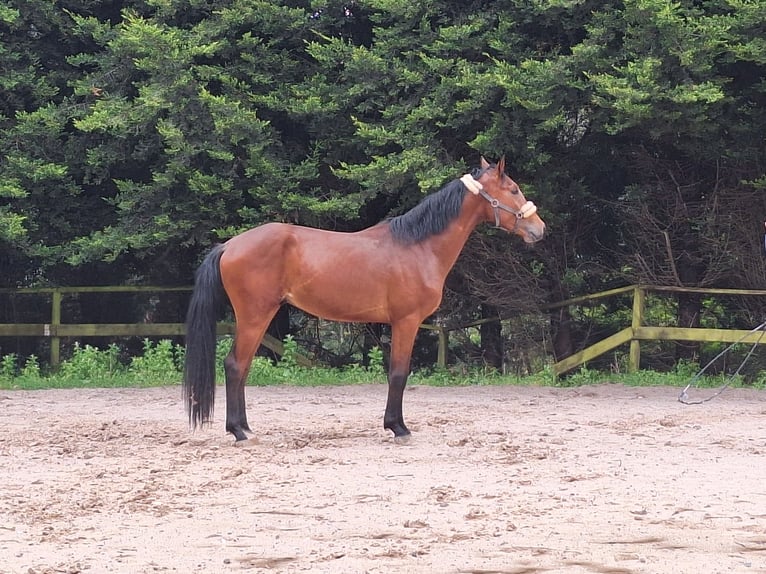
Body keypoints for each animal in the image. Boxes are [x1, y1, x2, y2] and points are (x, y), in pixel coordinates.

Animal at [183, 157, 546, 442]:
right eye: (514, 189)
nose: (539, 229)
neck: (418, 247)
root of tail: (229, 245)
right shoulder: (406, 322)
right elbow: (399, 372)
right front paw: (398, 427)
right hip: (255, 316)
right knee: (235, 365)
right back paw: (238, 431)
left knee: (242, 368)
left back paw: (245, 427)